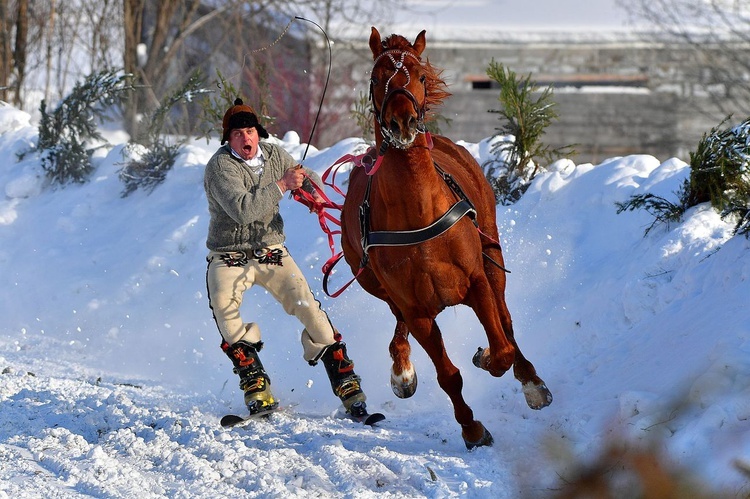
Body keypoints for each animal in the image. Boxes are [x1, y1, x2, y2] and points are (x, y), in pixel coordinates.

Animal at [340, 27, 552, 450]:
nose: (402, 122)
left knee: (506, 321)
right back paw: (402, 368)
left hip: (491, 251)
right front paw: (471, 429)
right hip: (374, 281)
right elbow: (447, 374)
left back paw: (531, 380)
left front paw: (488, 358)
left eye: (421, 77)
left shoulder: (476, 282)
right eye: (376, 79)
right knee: (397, 320)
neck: (418, 209)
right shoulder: (417, 309)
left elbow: (501, 348)